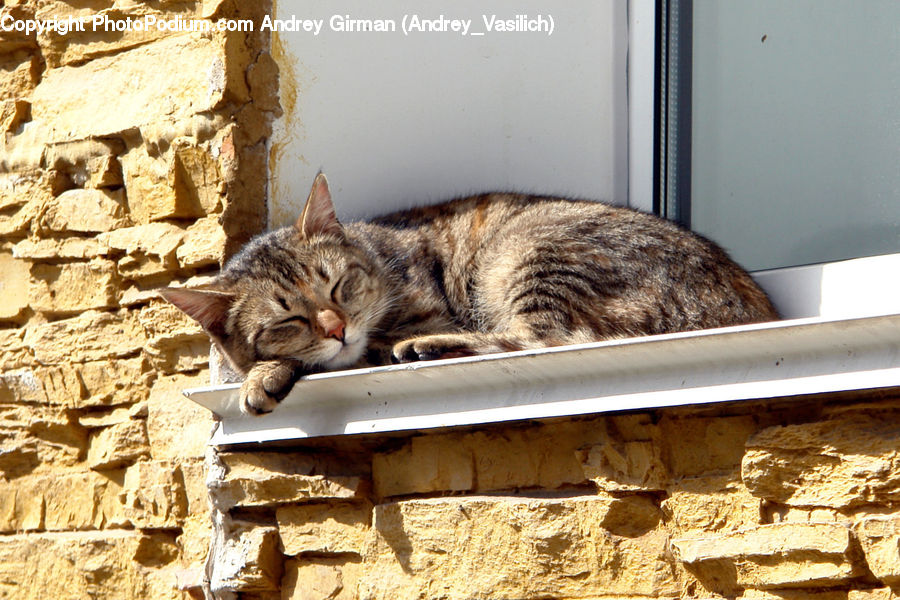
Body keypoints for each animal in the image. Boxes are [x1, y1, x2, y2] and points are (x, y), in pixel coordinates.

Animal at [163, 173, 780, 412]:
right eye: (286, 321)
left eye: (339, 286)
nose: (337, 328)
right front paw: (264, 369)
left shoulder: (411, 317)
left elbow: (352, 355)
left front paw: (265, 376)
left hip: (534, 253)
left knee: (553, 339)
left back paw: (430, 349)